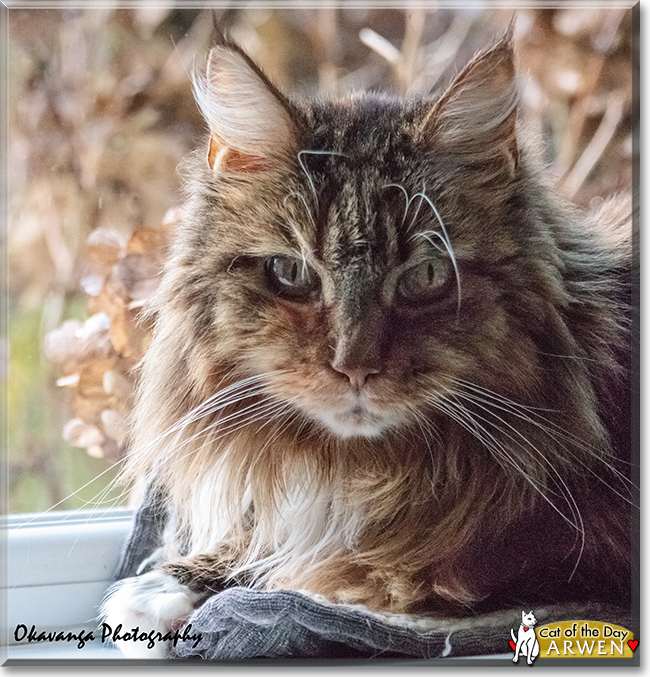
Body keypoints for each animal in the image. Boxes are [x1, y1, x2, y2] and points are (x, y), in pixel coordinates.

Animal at [102, 29, 632, 656]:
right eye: (290, 272)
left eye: (425, 276)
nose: (354, 367)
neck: (363, 468)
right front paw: (166, 585)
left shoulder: (539, 551)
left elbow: (327, 569)